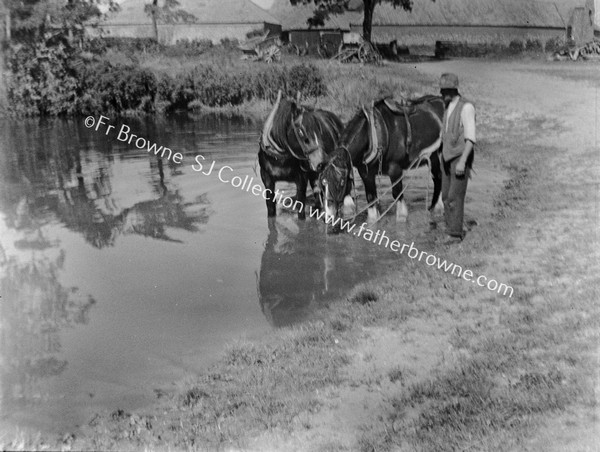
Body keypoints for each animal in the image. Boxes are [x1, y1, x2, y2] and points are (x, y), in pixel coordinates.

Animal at [256, 89, 342, 220]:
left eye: (319, 128)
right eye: (301, 132)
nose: (321, 162)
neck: (280, 156)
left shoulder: (301, 179)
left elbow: (300, 205)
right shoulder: (267, 178)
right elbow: (270, 206)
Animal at [318, 95, 446, 224]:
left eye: (341, 182)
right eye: (322, 183)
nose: (327, 215)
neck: (373, 133)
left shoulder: (395, 169)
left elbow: (397, 194)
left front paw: (402, 217)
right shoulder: (366, 174)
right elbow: (371, 199)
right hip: (433, 157)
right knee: (437, 178)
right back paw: (434, 208)